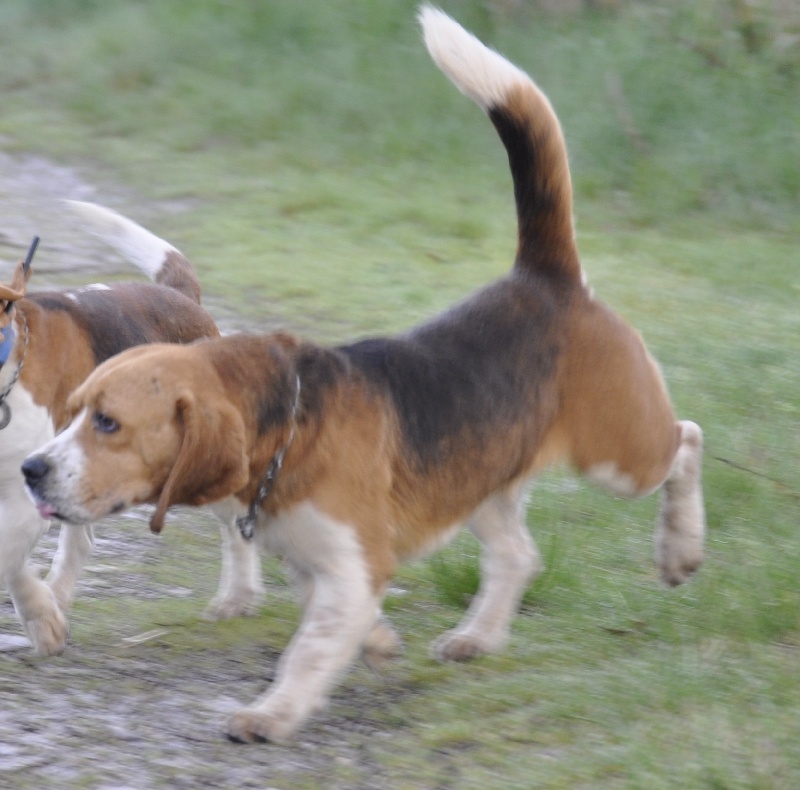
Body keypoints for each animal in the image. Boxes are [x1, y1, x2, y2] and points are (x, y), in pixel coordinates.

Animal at [1, 203, 260, 656]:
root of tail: (181, 298)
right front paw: (44, 617)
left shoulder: (21, 498)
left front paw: (39, 616)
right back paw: (57, 598)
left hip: (202, 464)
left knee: (238, 523)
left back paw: (236, 598)